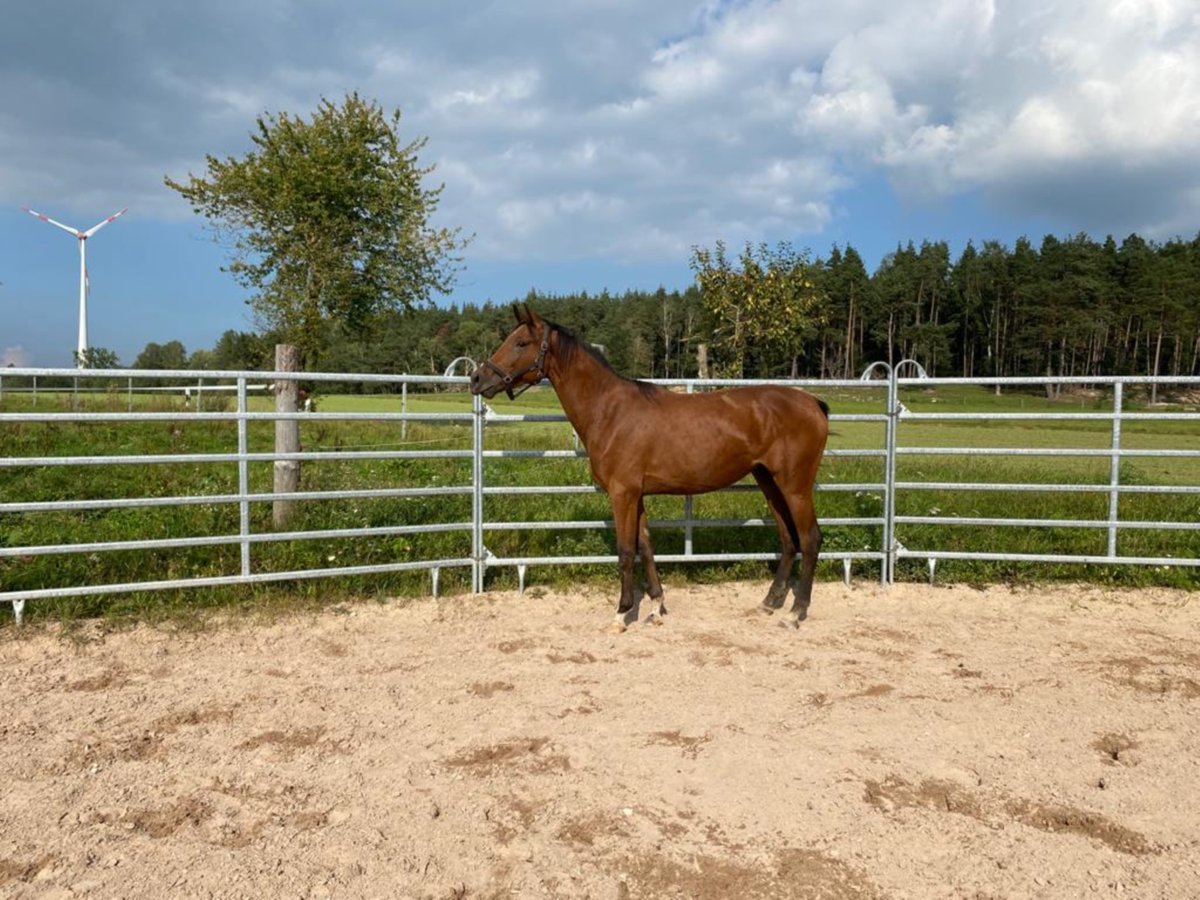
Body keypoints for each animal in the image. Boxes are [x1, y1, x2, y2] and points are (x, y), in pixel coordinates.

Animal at [472, 307, 830, 638]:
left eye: (521, 343)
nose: (477, 379)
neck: (610, 411)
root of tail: (813, 403)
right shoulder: (637, 494)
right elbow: (645, 546)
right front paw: (656, 607)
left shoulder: (622, 494)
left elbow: (625, 551)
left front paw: (621, 614)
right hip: (768, 481)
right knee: (788, 539)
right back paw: (770, 603)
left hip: (795, 487)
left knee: (810, 538)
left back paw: (795, 613)